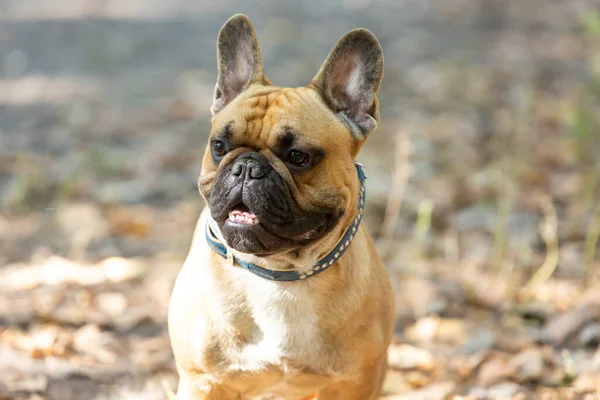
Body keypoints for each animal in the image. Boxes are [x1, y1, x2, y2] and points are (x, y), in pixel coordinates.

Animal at [166, 13, 396, 400]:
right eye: (218, 145)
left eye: (298, 156)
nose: (247, 167)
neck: (278, 275)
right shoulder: (203, 381)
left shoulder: (356, 382)